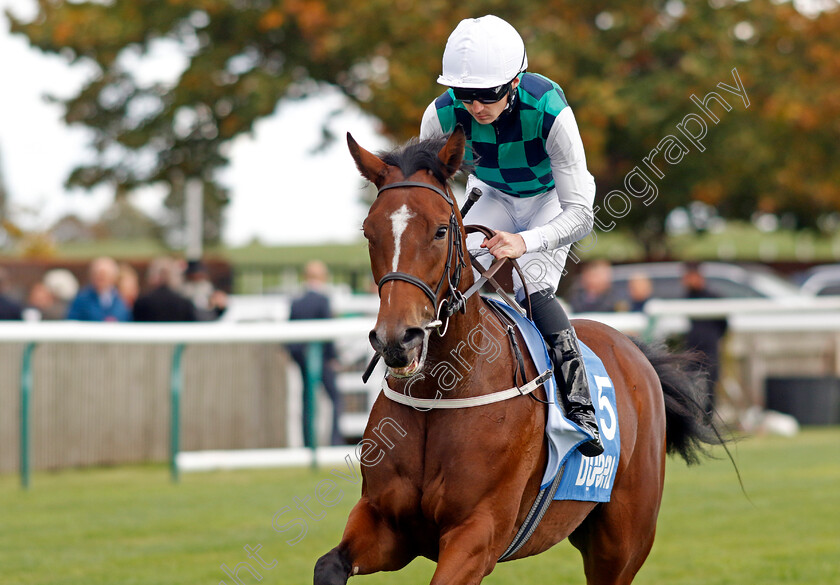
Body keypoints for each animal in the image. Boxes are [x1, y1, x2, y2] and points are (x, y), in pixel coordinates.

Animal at [316, 125, 720, 580]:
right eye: (369, 231)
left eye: (440, 231)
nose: (397, 339)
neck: (441, 392)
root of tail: (634, 350)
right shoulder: (385, 524)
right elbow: (327, 564)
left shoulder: (478, 533)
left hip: (622, 544)